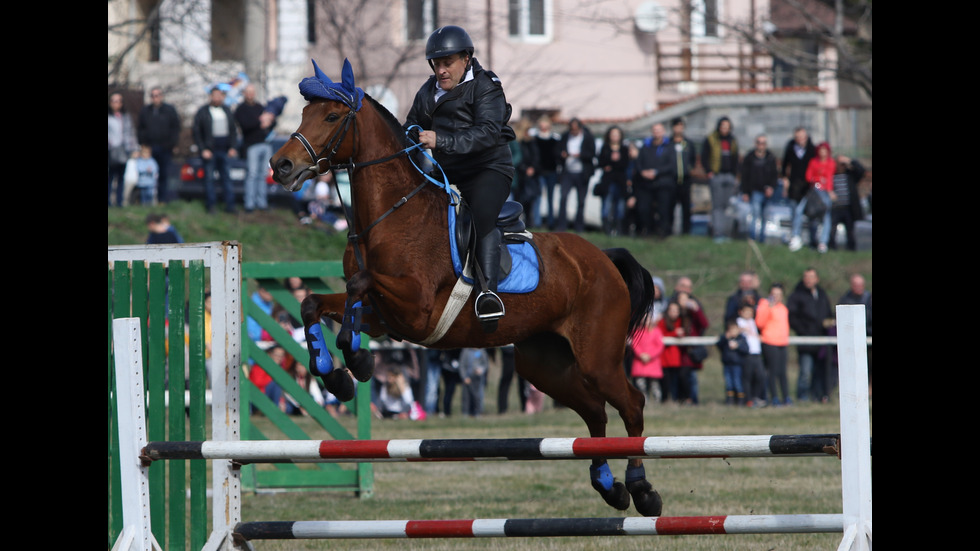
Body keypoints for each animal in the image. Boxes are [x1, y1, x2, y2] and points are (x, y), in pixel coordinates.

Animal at [272, 62, 664, 520]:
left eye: (332, 117)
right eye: (303, 114)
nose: (280, 165)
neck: (391, 215)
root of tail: (603, 258)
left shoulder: (417, 308)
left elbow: (358, 283)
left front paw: (355, 360)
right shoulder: (385, 318)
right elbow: (313, 303)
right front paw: (336, 375)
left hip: (597, 359)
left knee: (631, 405)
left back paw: (640, 489)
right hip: (544, 364)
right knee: (595, 413)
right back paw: (608, 486)